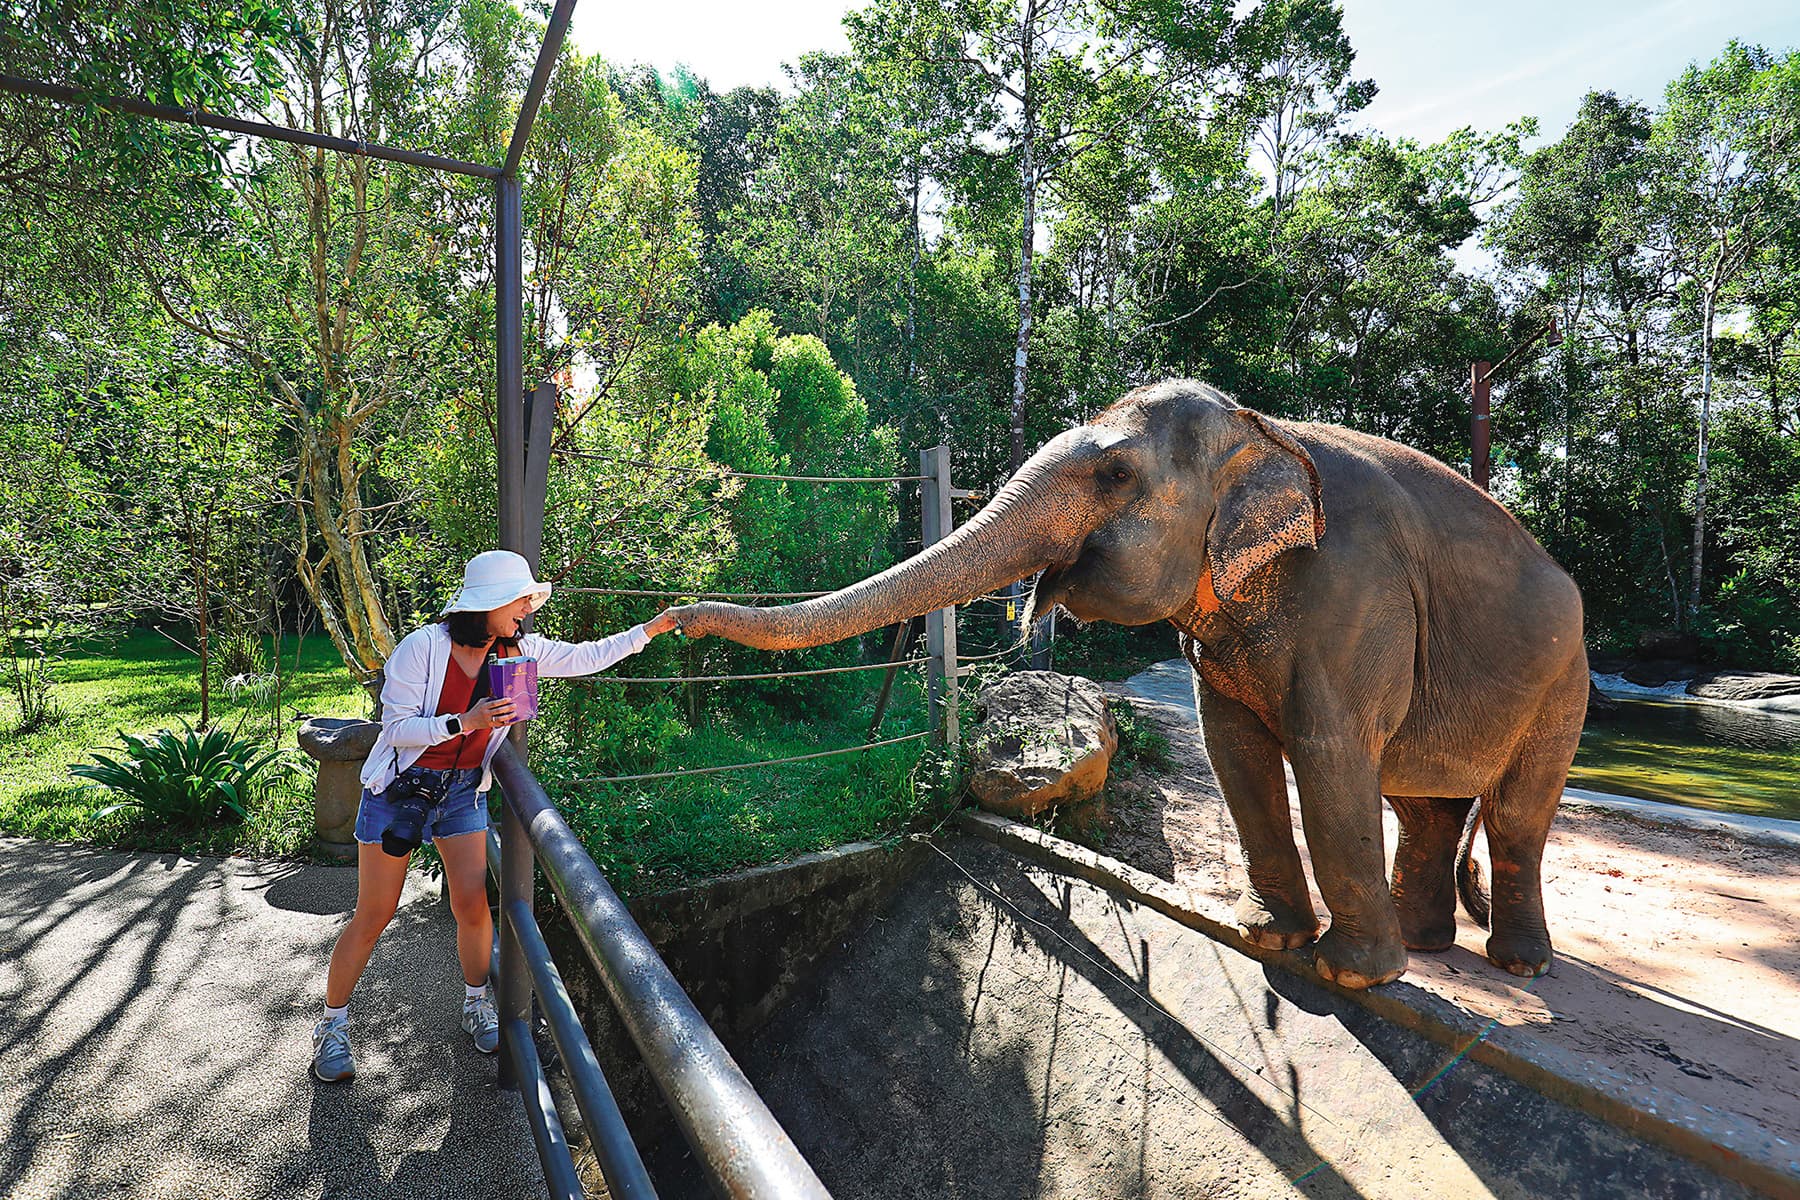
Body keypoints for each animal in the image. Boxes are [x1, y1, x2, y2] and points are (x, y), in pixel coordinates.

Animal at [674, 379, 1587, 989]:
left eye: (1113, 477)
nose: (673, 620)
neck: (1263, 427)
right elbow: (1233, 752)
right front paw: (1268, 940)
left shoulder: (1355, 597)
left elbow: (1329, 754)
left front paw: (1349, 977)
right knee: (1425, 806)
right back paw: (1431, 950)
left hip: (1563, 683)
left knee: (1513, 816)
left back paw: (1516, 965)